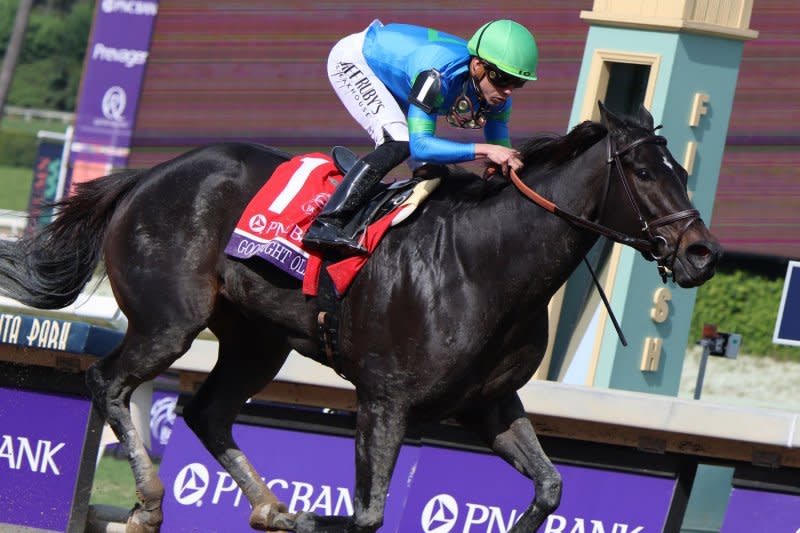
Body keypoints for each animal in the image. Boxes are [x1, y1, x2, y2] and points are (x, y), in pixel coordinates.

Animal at [0, 102, 720, 528]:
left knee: (207, 410)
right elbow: (369, 514)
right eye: (645, 173)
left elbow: (550, 487)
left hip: (256, 341)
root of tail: (147, 176)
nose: (702, 253)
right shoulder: (385, 397)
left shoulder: (491, 404)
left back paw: (275, 508)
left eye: (682, 170)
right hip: (170, 322)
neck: (486, 261)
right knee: (108, 382)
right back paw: (149, 504)